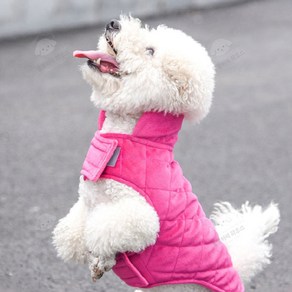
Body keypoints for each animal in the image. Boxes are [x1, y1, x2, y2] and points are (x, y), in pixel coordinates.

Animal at [53, 16, 280, 292]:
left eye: (150, 51)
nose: (113, 24)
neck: (128, 139)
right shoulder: (88, 202)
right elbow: (71, 232)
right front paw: (97, 261)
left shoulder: (138, 214)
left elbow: (106, 230)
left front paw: (102, 257)